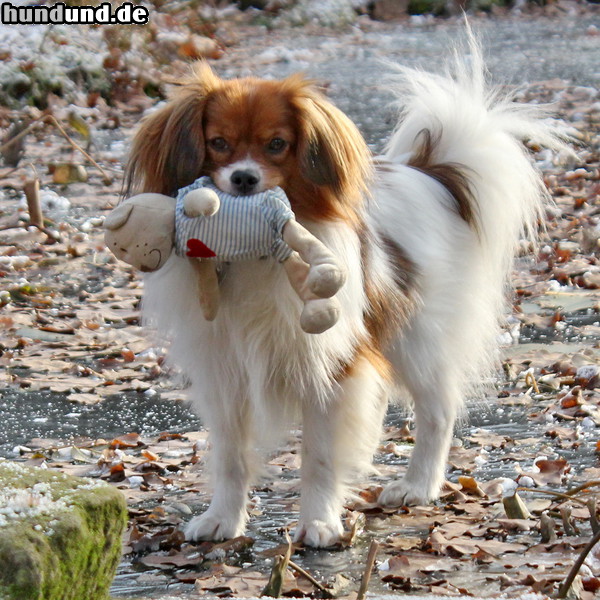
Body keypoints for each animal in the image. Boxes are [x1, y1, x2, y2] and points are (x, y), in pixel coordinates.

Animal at [124, 34, 564, 548]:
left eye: (278, 144)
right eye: (218, 144)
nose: (244, 179)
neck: (255, 255)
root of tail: (433, 176)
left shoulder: (332, 365)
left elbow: (319, 456)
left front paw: (319, 523)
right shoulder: (224, 372)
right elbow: (231, 456)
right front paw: (223, 519)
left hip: (417, 341)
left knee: (437, 411)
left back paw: (418, 485)